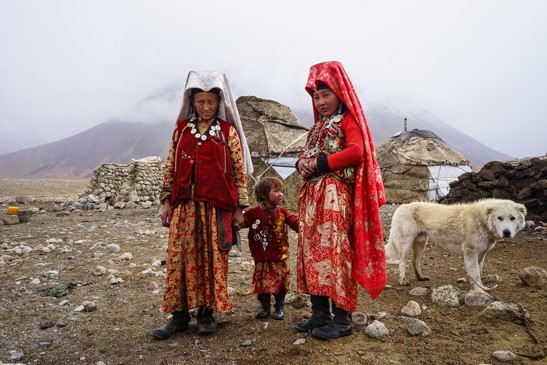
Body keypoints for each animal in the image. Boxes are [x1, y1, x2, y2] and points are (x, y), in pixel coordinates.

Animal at [386, 198, 528, 292]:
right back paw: (403, 280)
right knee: (402, 262)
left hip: (421, 243)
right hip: (406, 244)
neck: (481, 220)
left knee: (415, 261)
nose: (506, 232)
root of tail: (402, 206)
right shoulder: (470, 252)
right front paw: (479, 291)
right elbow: (475, 273)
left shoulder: (481, 254)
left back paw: (420, 277)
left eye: (512, 218)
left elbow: (478, 272)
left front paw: (481, 288)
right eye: (499, 218)